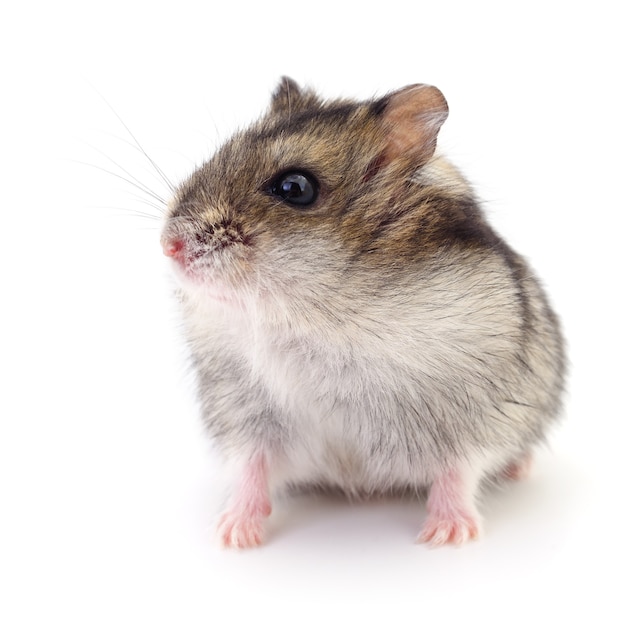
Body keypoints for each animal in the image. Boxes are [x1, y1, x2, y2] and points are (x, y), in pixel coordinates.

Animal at [161, 77, 564, 548]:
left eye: (295, 188)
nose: (168, 246)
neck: (307, 315)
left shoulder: (474, 414)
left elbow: (458, 471)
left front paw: (446, 536)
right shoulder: (243, 412)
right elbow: (250, 469)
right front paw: (232, 536)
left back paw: (520, 468)